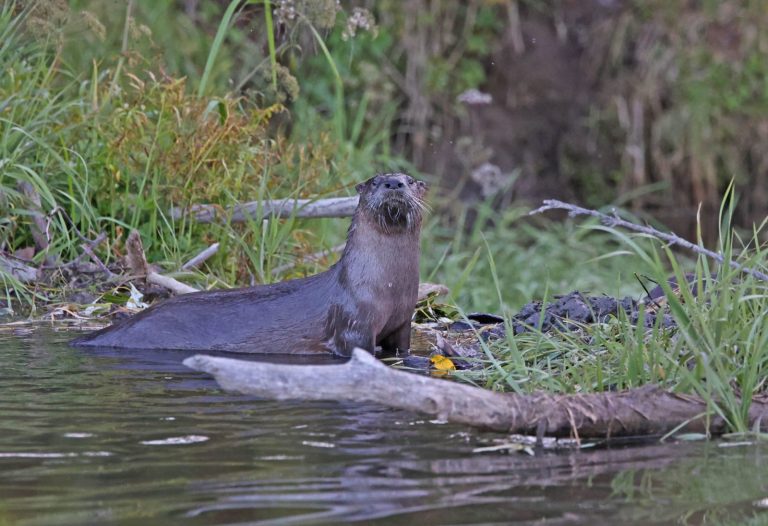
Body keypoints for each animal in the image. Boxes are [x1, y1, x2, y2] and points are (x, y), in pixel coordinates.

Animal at [71, 173, 428, 357]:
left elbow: (402, 348)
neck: (387, 285)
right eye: (374, 181)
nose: (394, 183)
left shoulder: (402, 321)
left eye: (412, 180)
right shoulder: (353, 324)